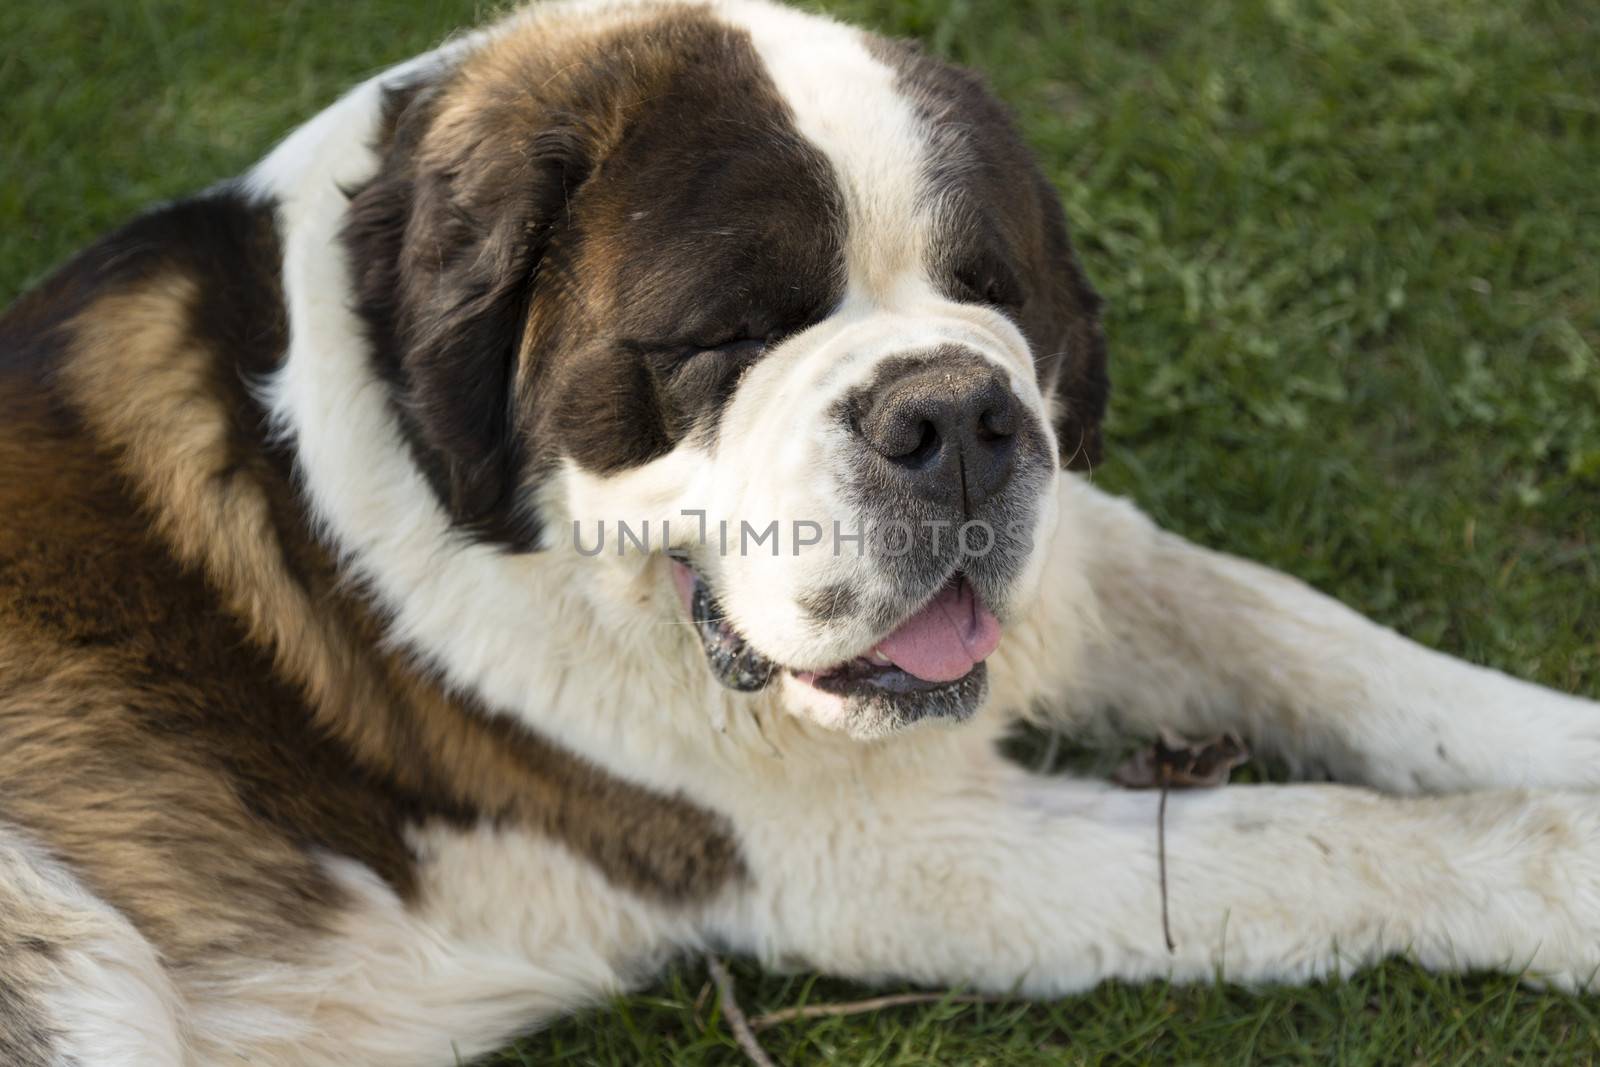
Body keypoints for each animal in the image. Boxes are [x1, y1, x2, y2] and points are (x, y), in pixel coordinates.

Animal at [3, 0, 1600, 1062]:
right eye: (727, 332)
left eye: (993, 293)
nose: (953, 415)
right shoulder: (894, 857)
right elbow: (1301, 837)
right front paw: (1565, 872)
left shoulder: (1085, 565)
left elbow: (1326, 648)